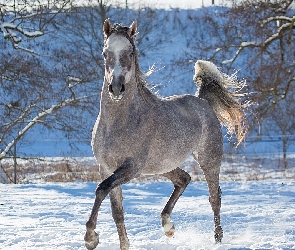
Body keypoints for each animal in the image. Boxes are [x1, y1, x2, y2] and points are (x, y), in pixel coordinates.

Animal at [84, 19, 249, 250]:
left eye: (131, 53)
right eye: (105, 52)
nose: (116, 88)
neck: (119, 124)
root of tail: (203, 101)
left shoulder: (131, 167)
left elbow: (101, 189)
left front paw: (90, 237)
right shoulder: (106, 168)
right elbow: (117, 211)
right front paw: (122, 244)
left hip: (208, 159)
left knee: (214, 196)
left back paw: (217, 238)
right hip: (162, 165)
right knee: (183, 179)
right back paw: (168, 226)